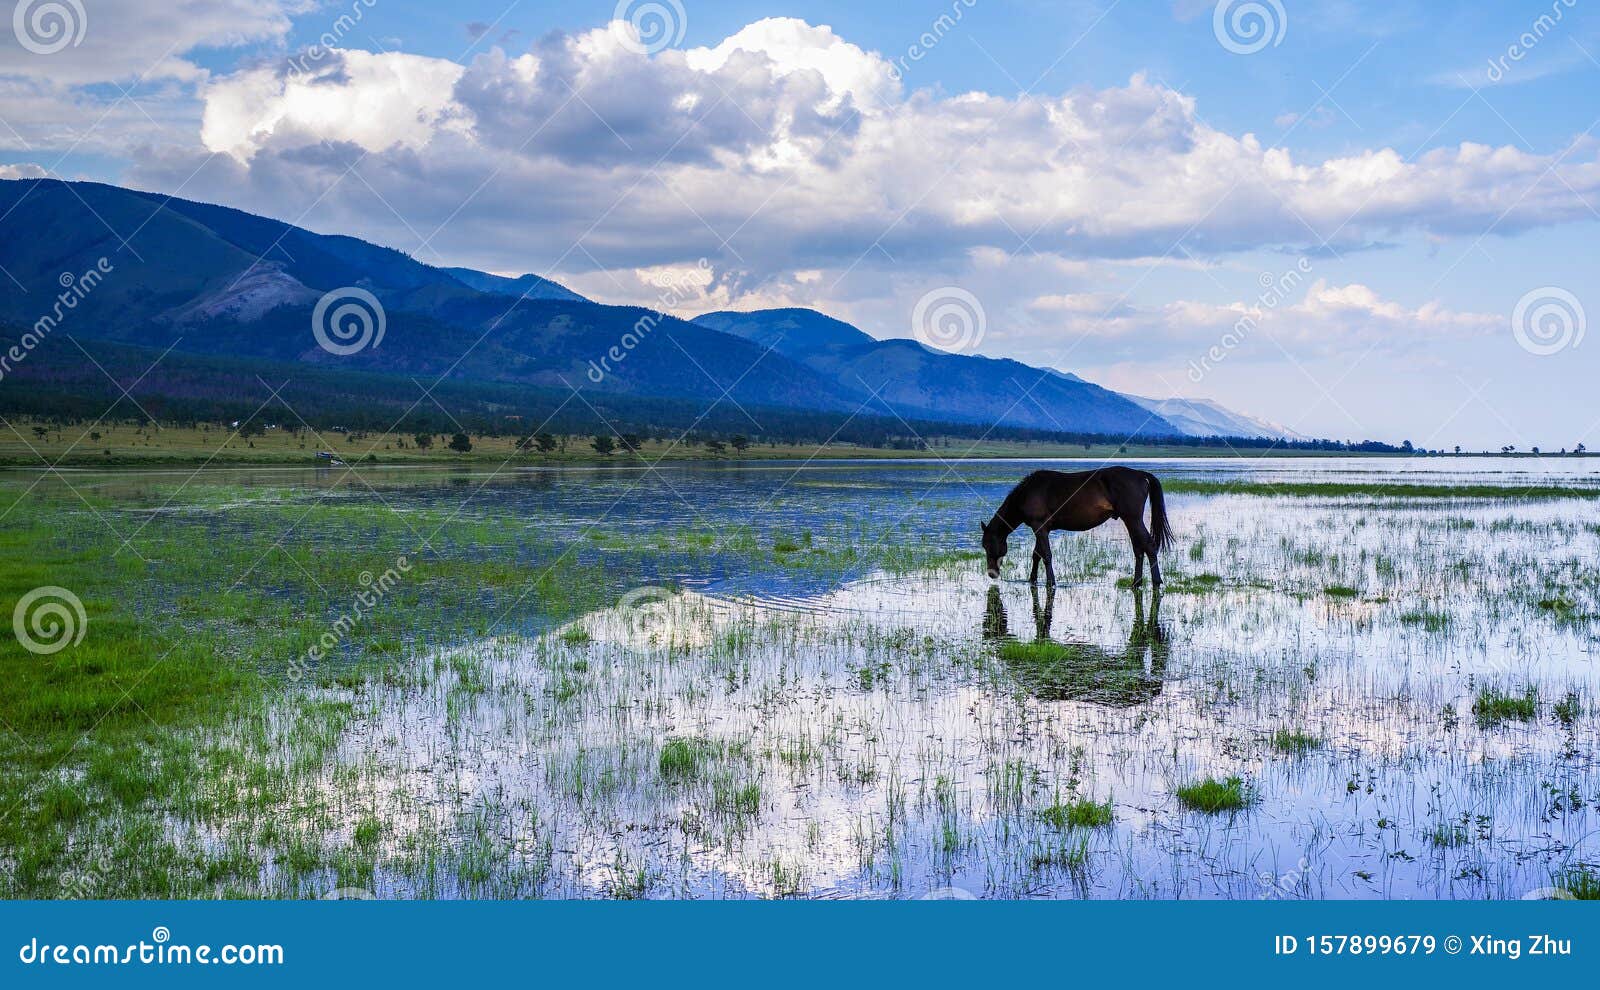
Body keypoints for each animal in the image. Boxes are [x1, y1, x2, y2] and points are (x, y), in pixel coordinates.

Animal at [972, 467, 1177, 588]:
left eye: (988, 545)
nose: (991, 573)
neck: (1027, 492)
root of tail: (1142, 474)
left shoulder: (1040, 527)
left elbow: (1046, 556)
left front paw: (1051, 582)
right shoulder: (1042, 529)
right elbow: (1037, 555)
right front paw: (1032, 579)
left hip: (1133, 519)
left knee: (1149, 546)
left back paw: (1156, 582)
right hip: (1130, 520)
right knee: (1139, 549)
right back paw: (1136, 582)